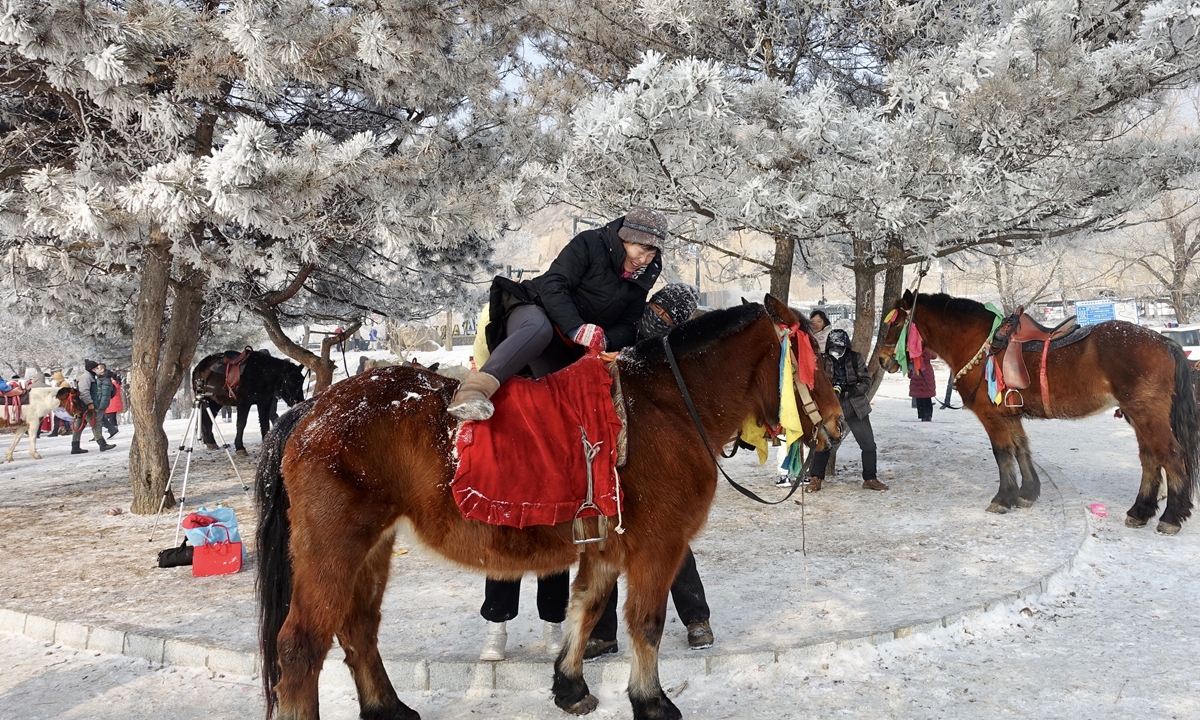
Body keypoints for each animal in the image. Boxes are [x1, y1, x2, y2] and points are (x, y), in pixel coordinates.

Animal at [258, 296, 844, 720]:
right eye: (812, 362)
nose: (837, 425)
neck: (671, 406)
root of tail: (315, 408)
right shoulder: (659, 546)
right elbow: (646, 624)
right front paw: (651, 701)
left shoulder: (605, 548)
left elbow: (583, 608)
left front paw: (569, 685)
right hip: (333, 547)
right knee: (301, 647)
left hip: (373, 546)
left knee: (358, 628)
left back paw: (389, 708)